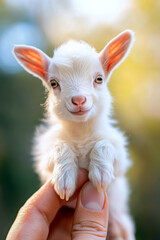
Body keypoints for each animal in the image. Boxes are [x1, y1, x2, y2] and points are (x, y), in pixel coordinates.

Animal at [12, 30, 135, 240]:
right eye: (54, 83)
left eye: (99, 79)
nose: (78, 100)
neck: (81, 133)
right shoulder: (44, 160)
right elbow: (59, 147)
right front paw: (64, 179)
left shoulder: (121, 158)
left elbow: (104, 145)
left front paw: (101, 173)